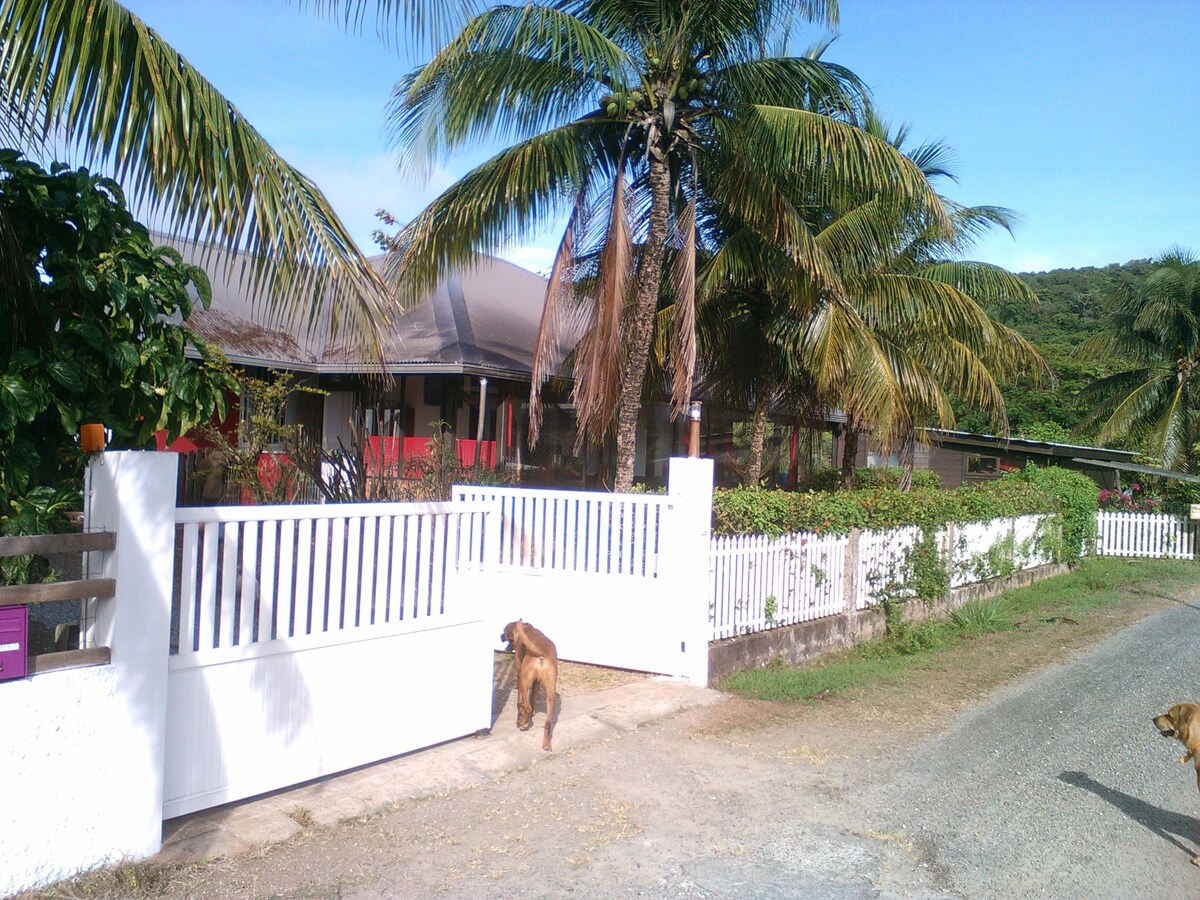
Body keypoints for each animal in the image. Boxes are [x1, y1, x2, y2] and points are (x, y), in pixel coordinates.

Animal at [506, 619, 561, 753]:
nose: (501, 636)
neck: (527, 628)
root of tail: (542, 653)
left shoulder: (519, 676)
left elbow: (520, 702)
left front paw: (519, 719)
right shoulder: (536, 683)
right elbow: (533, 699)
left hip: (524, 682)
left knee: (527, 707)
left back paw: (523, 723)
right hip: (551, 693)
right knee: (547, 723)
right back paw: (546, 743)